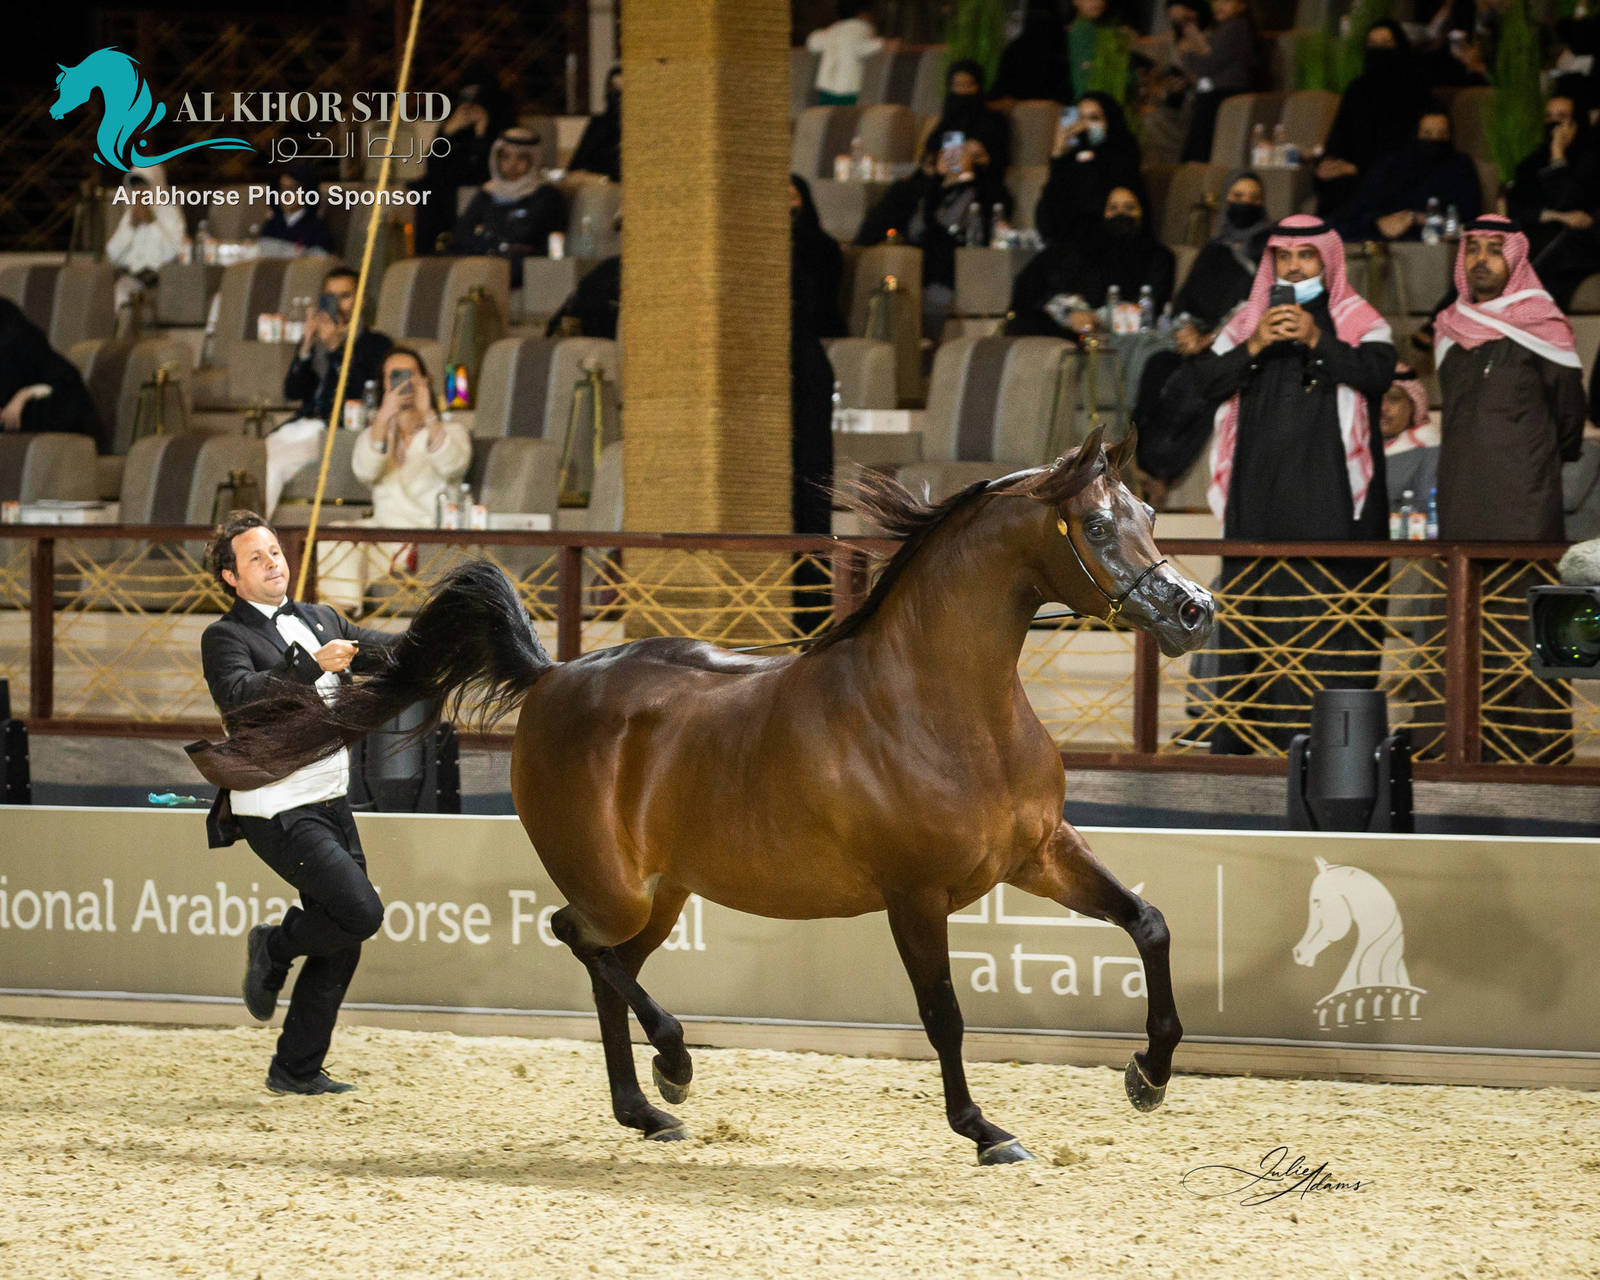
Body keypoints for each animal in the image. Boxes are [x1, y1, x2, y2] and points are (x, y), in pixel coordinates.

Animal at [191, 428, 1215, 1165]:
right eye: (1094, 526)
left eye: (1149, 509)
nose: (1192, 611)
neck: (940, 703)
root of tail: (552, 676)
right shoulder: (916, 896)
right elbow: (945, 1013)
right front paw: (987, 1132)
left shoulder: (1038, 855)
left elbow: (1151, 923)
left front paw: (1149, 1074)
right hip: (617, 887)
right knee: (579, 940)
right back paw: (673, 1068)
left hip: (663, 893)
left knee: (608, 964)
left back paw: (645, 1108)